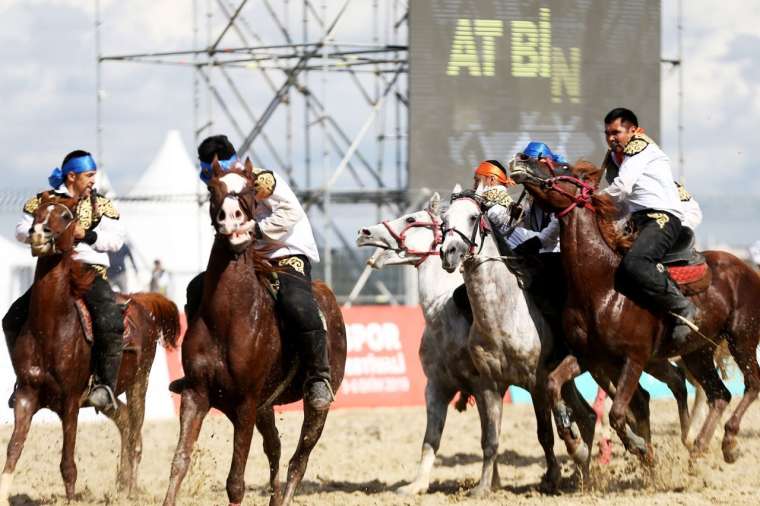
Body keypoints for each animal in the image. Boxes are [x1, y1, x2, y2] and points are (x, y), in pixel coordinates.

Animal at [0, 193, 181, 502]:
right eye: (36, 214)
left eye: (65, 216)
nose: (38, 234)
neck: (51, 327)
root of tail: (140, 301)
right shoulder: (26, 395)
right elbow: (13, 450)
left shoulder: (71, 401)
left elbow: (67, 463)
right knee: (124, 421)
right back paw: (121, 484)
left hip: (139, 383)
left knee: (135, 436)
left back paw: (130, 491)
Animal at [163, 159, 348, 506]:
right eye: (212, 188)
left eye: (250, 189)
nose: (232, 219)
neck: (229, 318)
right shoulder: (196, 394)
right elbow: (180, 461)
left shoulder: (245, 404)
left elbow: (236, 482)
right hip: (265, 407)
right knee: (275, 448)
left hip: (316, 408)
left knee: (298, 461)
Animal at [358, 193, 512, 494]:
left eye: (410, 218)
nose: (365, 232)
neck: (443, 313)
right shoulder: (436, 387)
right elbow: (431, 439)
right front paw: (416, 485)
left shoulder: (486, 386)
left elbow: (490, 436)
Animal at [508, 158, 760, 466]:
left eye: (562, 166)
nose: (520, 159)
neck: (602, 287)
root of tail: (748, 270)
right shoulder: (590, 357)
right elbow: (554, 384)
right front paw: (575, 443)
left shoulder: (634, 358)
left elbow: (618, 412)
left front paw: (640, 448)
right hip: (698, 352)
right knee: (719, 394)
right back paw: (698, 447)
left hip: (742, 339)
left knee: (752, 385)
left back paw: (730, 442)